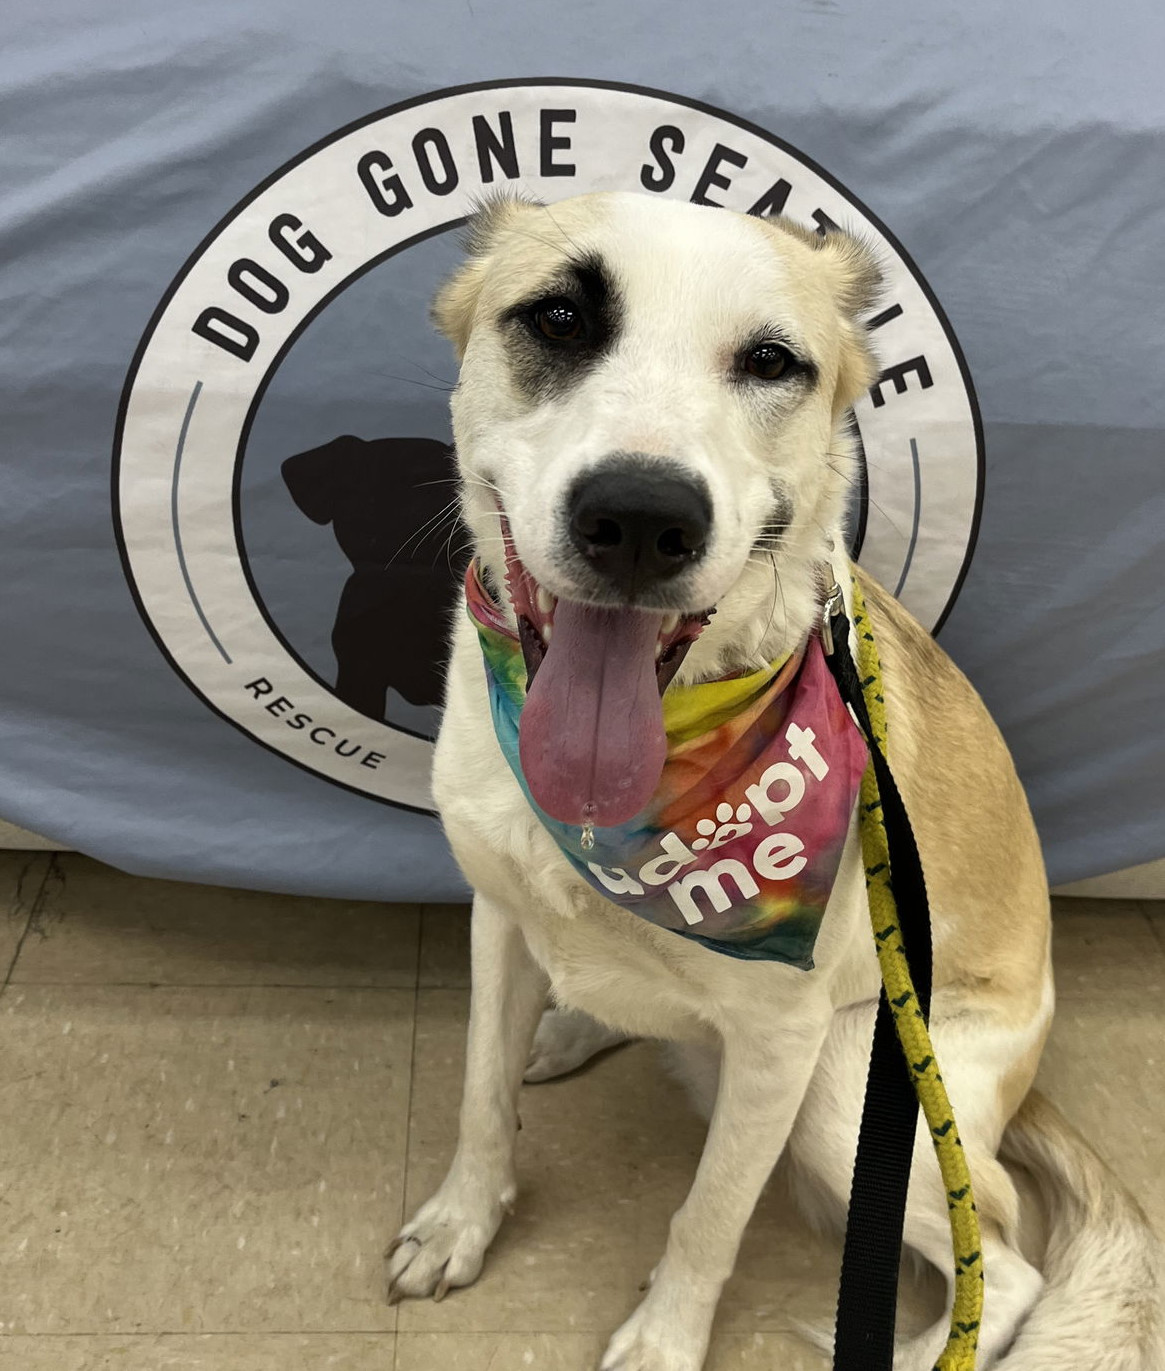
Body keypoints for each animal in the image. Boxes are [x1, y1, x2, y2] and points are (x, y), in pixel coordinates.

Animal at [383, 193, 1162, 1371]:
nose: (640, 520)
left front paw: (663, 1339)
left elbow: (708, 1215)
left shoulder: (780, 1045)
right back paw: (572, 1024)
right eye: (559, 317)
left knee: (1006, 1262)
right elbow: (478, 1098)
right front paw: (461, 1223)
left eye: (768, 361)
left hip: (849, 1092)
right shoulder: (499, 917)